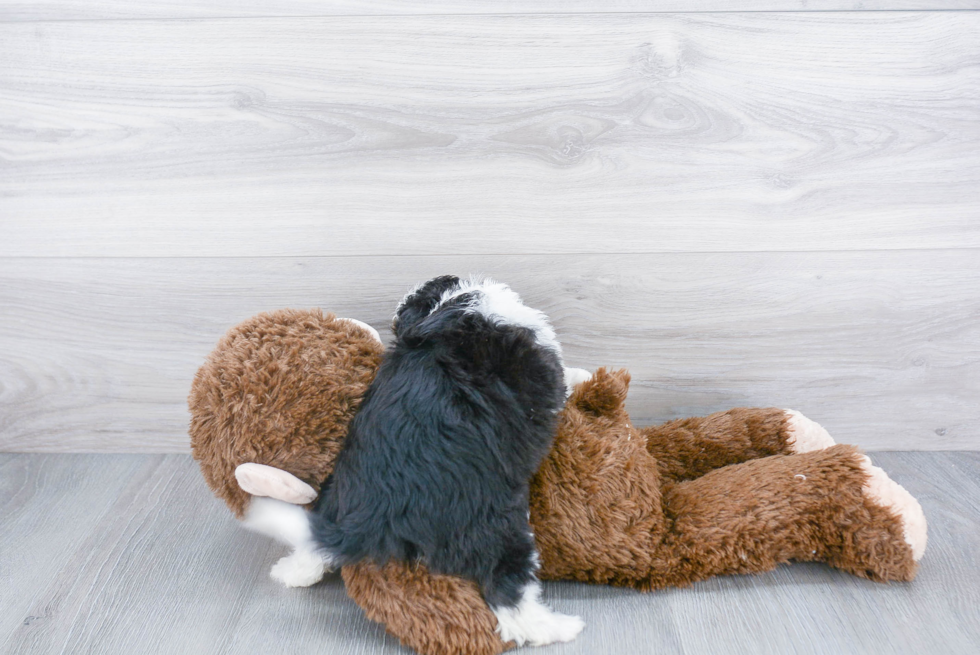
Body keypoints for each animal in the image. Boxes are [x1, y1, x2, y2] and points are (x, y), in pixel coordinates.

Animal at [306, 276, 580, 644]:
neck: (446, 308)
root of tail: (376, 517)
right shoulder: (544, 370)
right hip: (495, 531)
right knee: (509, 595)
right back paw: (560, 627)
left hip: (335, 495)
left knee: (316, 540)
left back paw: (293, 571)